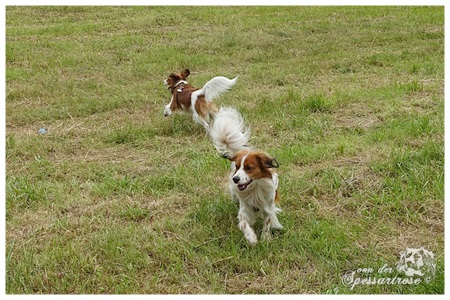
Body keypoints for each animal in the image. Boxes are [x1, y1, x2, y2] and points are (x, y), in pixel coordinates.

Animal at [210, 106, 282, 245]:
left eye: (249, 168)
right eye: (238, 167)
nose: (235, 179)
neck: (254, 189)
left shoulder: (268, 206)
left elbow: (267, 221)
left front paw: (265, 238)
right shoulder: (244, 209)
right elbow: (243, 222)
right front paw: (251, 237)